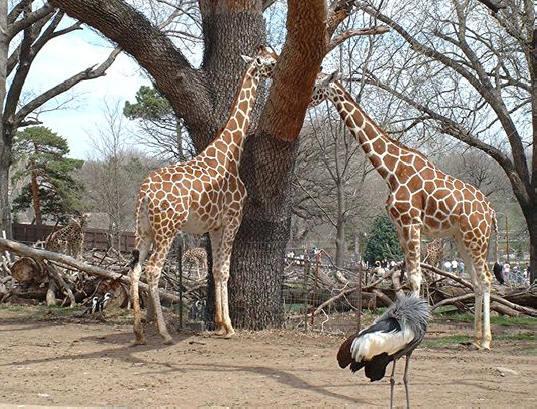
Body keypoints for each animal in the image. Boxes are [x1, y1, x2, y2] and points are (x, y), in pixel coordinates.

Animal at [129, 46, 276, 342]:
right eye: (270, 62)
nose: (279, 67)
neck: (230, 152)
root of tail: (145, 193)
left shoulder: (214, 226)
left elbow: (215, 271)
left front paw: (220, 324)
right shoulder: (233, 219)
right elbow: (224, 270)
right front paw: (229, 327)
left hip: (144, 229)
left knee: (135, 270)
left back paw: (138, 332)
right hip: (167, 229)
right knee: (153, 270)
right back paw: (164, 332)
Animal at [310, 71, 498, 350]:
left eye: (317, 86)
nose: (306, 99)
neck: (390, 170)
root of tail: (491, 212)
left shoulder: (412, 222)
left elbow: (417, 277)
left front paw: (417, 330)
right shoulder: (400, 226)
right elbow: (407, 275)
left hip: (477, 238)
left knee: (486, 278)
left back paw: (486, 341)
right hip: (461, 239)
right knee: (475, 281)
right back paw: (475, 338)